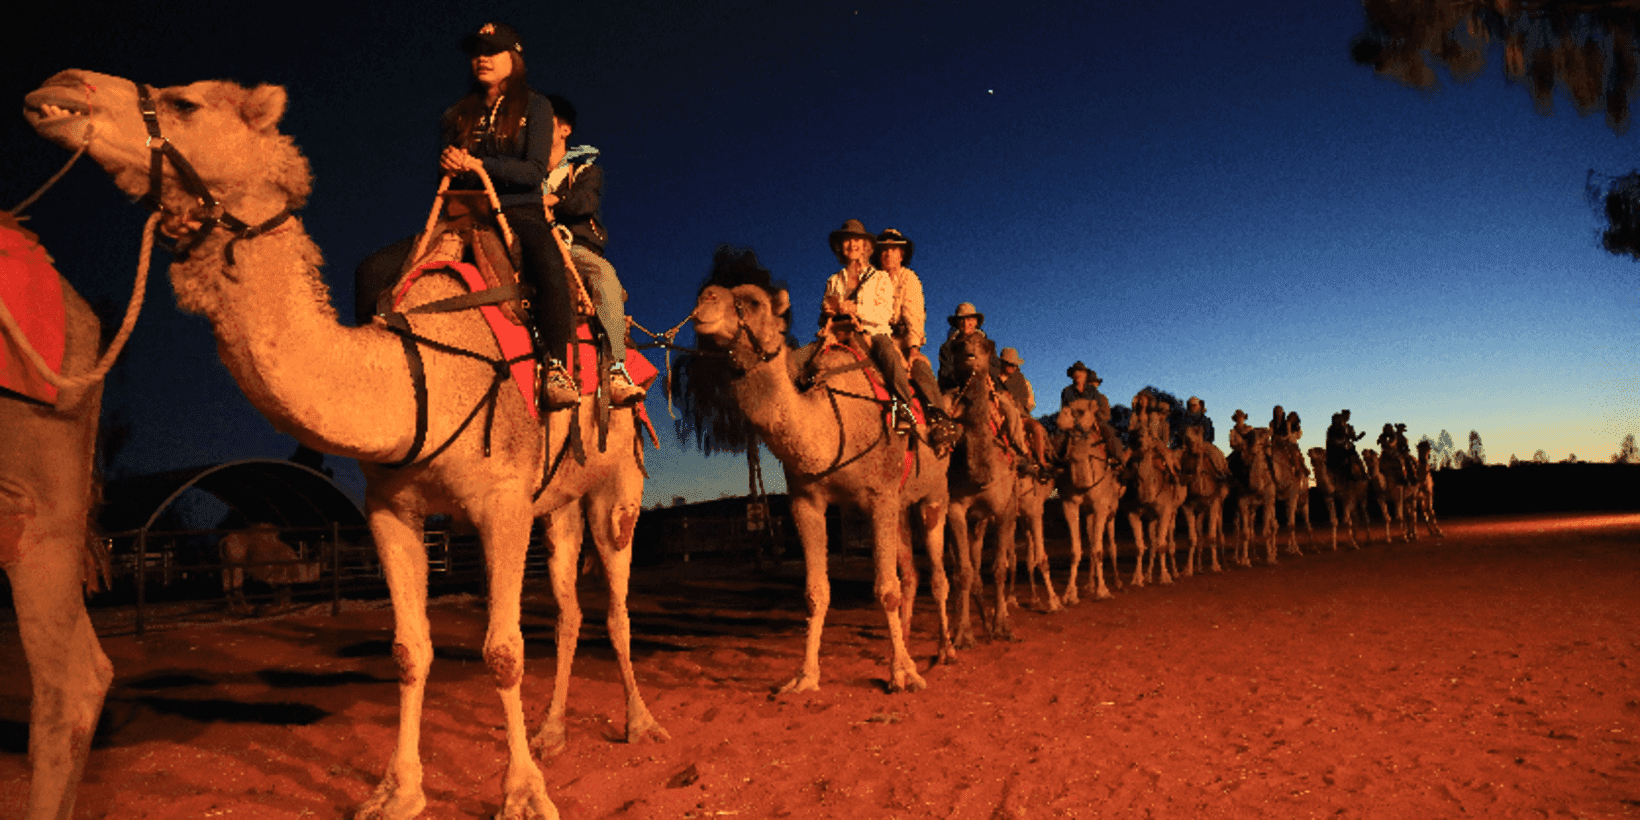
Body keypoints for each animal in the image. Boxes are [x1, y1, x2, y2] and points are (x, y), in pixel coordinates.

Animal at [25, 72, 669, 820]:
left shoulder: (501, 506)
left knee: (615, 605)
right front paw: (399, 791)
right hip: (559, 501)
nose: (63, 90)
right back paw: (554, 732)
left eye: (184, 103)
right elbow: (409, 649)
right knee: (568, 609)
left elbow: (504, 651)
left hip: (618, 483)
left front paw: (523, 794)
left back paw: (640, 723)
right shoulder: (394, 509)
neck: (417, 373)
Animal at [685, 255, 931, 692]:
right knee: (915, 574)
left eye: (753, 301)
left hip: (939, 495)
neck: (834, 424)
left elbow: (886, 589)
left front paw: (902, 674)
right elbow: (816, 592)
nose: (705, 299)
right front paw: (804, 677)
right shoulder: (807, 500)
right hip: (904, 506)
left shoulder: (881, 497)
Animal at [1049, 396, 1128, 603]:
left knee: (1111, 545)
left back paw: (1118, 583)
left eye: (1081, 411)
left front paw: (1103, 591)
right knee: (1092, 542)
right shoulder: (1070, 504)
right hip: (1090, 514)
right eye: (1065, 405)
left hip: (1111, 511)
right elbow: (1077, 550)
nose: (1060, 418)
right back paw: (1090, 585)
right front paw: (1070, 594)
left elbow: (1100, 550)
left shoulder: (1101, 507)